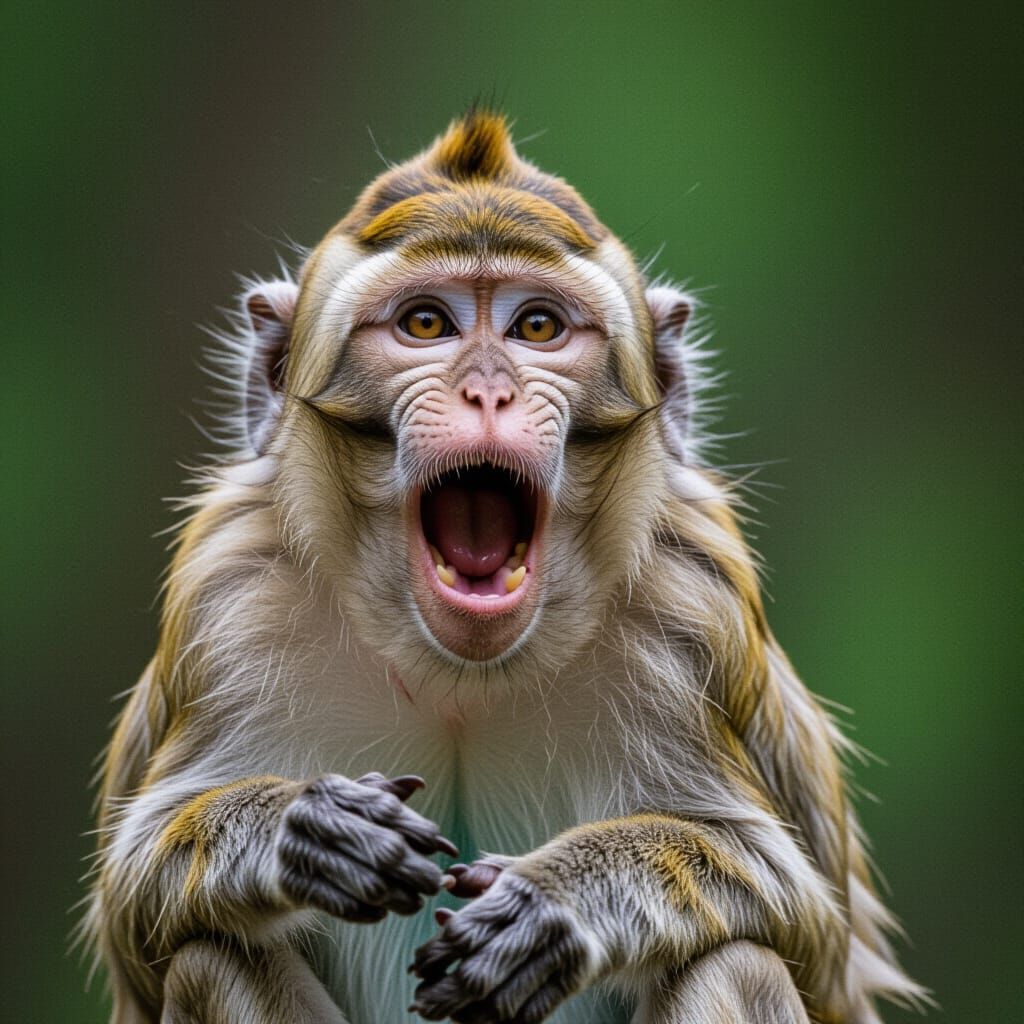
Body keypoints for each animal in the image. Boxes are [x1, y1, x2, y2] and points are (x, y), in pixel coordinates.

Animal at [85, 111, 925, 1024]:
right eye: (425, 325)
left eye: (537, 329)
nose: (489, 391)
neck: (463, 672)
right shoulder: (226, 597)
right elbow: (134, 893)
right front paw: (309, 831)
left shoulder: (696, 611)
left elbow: (797, 910)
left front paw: (552, 905)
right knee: (210, 955)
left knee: (737, 961)